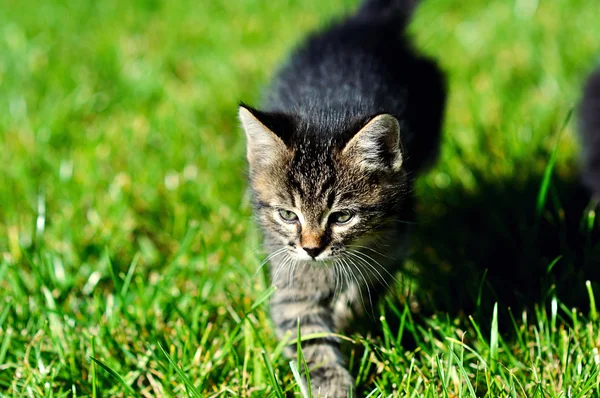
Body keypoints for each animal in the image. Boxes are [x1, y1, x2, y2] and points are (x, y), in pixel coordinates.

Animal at [239, 0, 446, 394]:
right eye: (288, 216)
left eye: (342, 217)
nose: (311, 249)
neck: (327, 108)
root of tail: (366, 25)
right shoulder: (289, 276)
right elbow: (308, 337)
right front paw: (329, 383)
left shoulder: (395, 240)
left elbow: (365, 288)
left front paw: (347, 311)